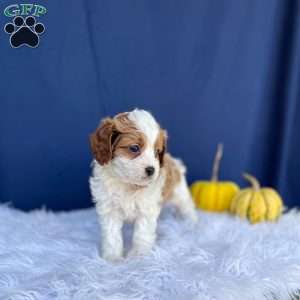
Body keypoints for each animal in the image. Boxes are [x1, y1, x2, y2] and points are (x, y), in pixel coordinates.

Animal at [89, 109, 197, 262]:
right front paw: (113, 258)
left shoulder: (147, 210)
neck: (128, 184)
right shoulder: (110, 209)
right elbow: (112, 236)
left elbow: (142, 234)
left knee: (187, 208)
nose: (152, 170)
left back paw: (192, 223)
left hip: (180, 193)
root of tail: (175, 161)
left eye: (157, 152)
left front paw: (138, 256)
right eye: (134, 148)